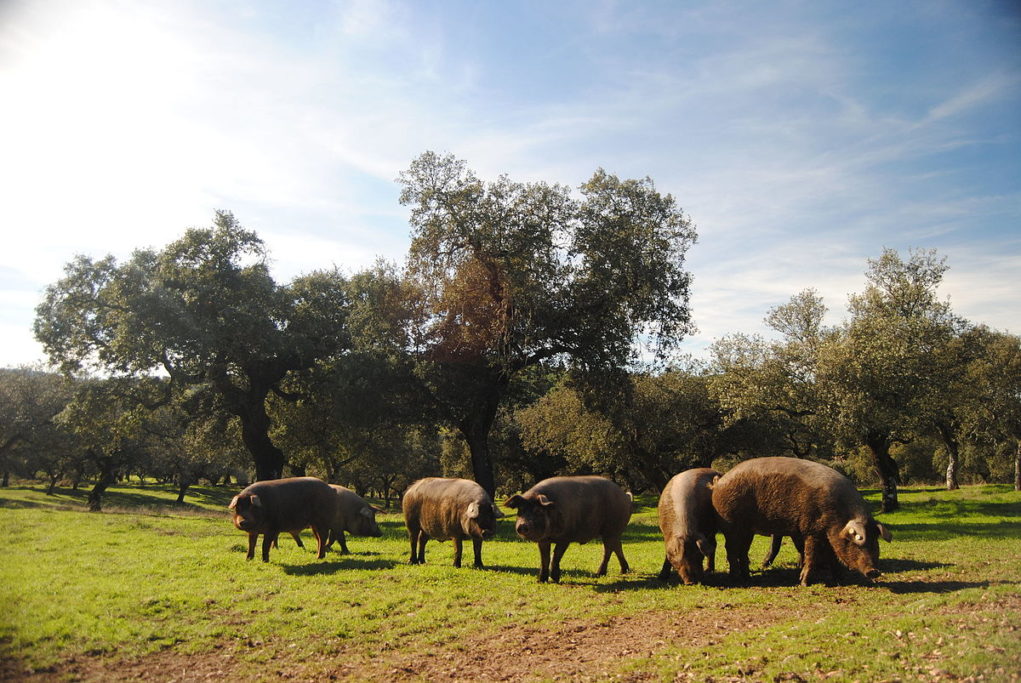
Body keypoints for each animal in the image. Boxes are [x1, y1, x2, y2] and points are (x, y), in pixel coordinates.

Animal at [710, 455, 894, 583]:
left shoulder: (828, 534)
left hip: (747, 529)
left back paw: (747, 577)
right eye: (856, 542)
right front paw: (804, 583)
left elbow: (832, 556)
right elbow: (811, 554)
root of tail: (719, 482)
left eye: (875, 542)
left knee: (742, 550)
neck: (837, 516)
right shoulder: (811, 529)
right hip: (730, 524)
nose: (874, 571)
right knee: (731, 549)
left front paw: (839, 580)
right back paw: (736, 579)